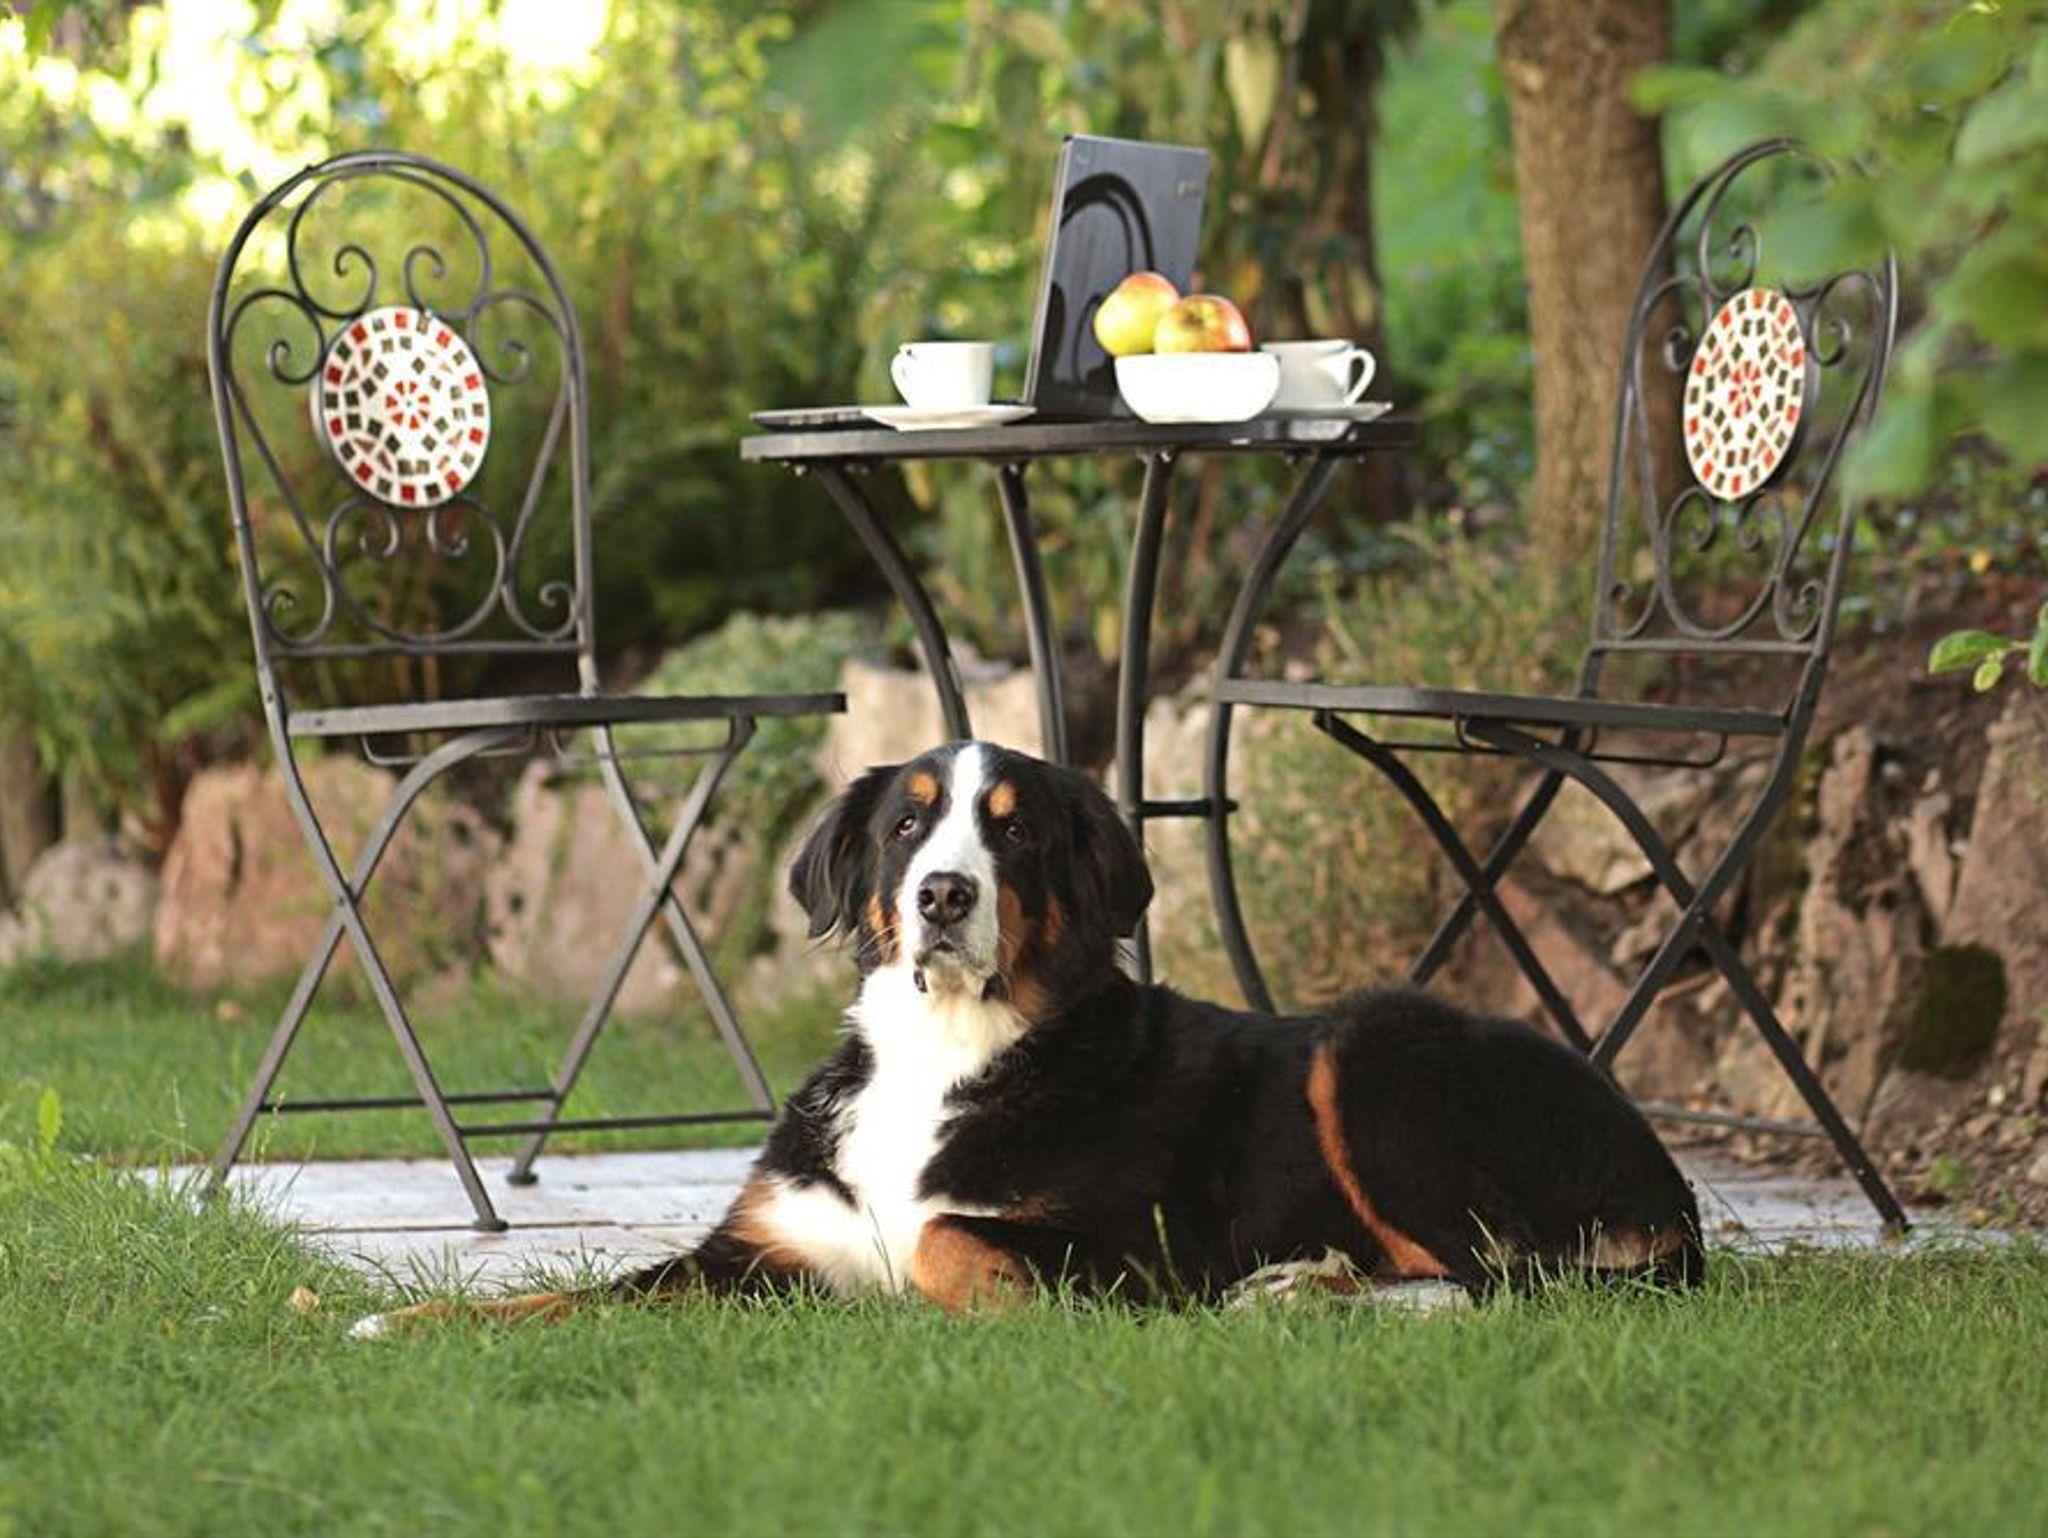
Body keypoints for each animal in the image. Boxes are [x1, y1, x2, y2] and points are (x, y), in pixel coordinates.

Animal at [353, 741, 1700, 1335]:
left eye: (1012, 830)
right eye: (907, 825)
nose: (945, 895)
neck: (948, 1048)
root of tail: (1663, 1170)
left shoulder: (1135, 1243)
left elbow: (944, 1235)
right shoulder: (759, 1248)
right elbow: (570, 1294)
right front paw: (397, 1328)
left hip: (1375, 1047)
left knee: (1505, 1273)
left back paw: (1306, 1292)